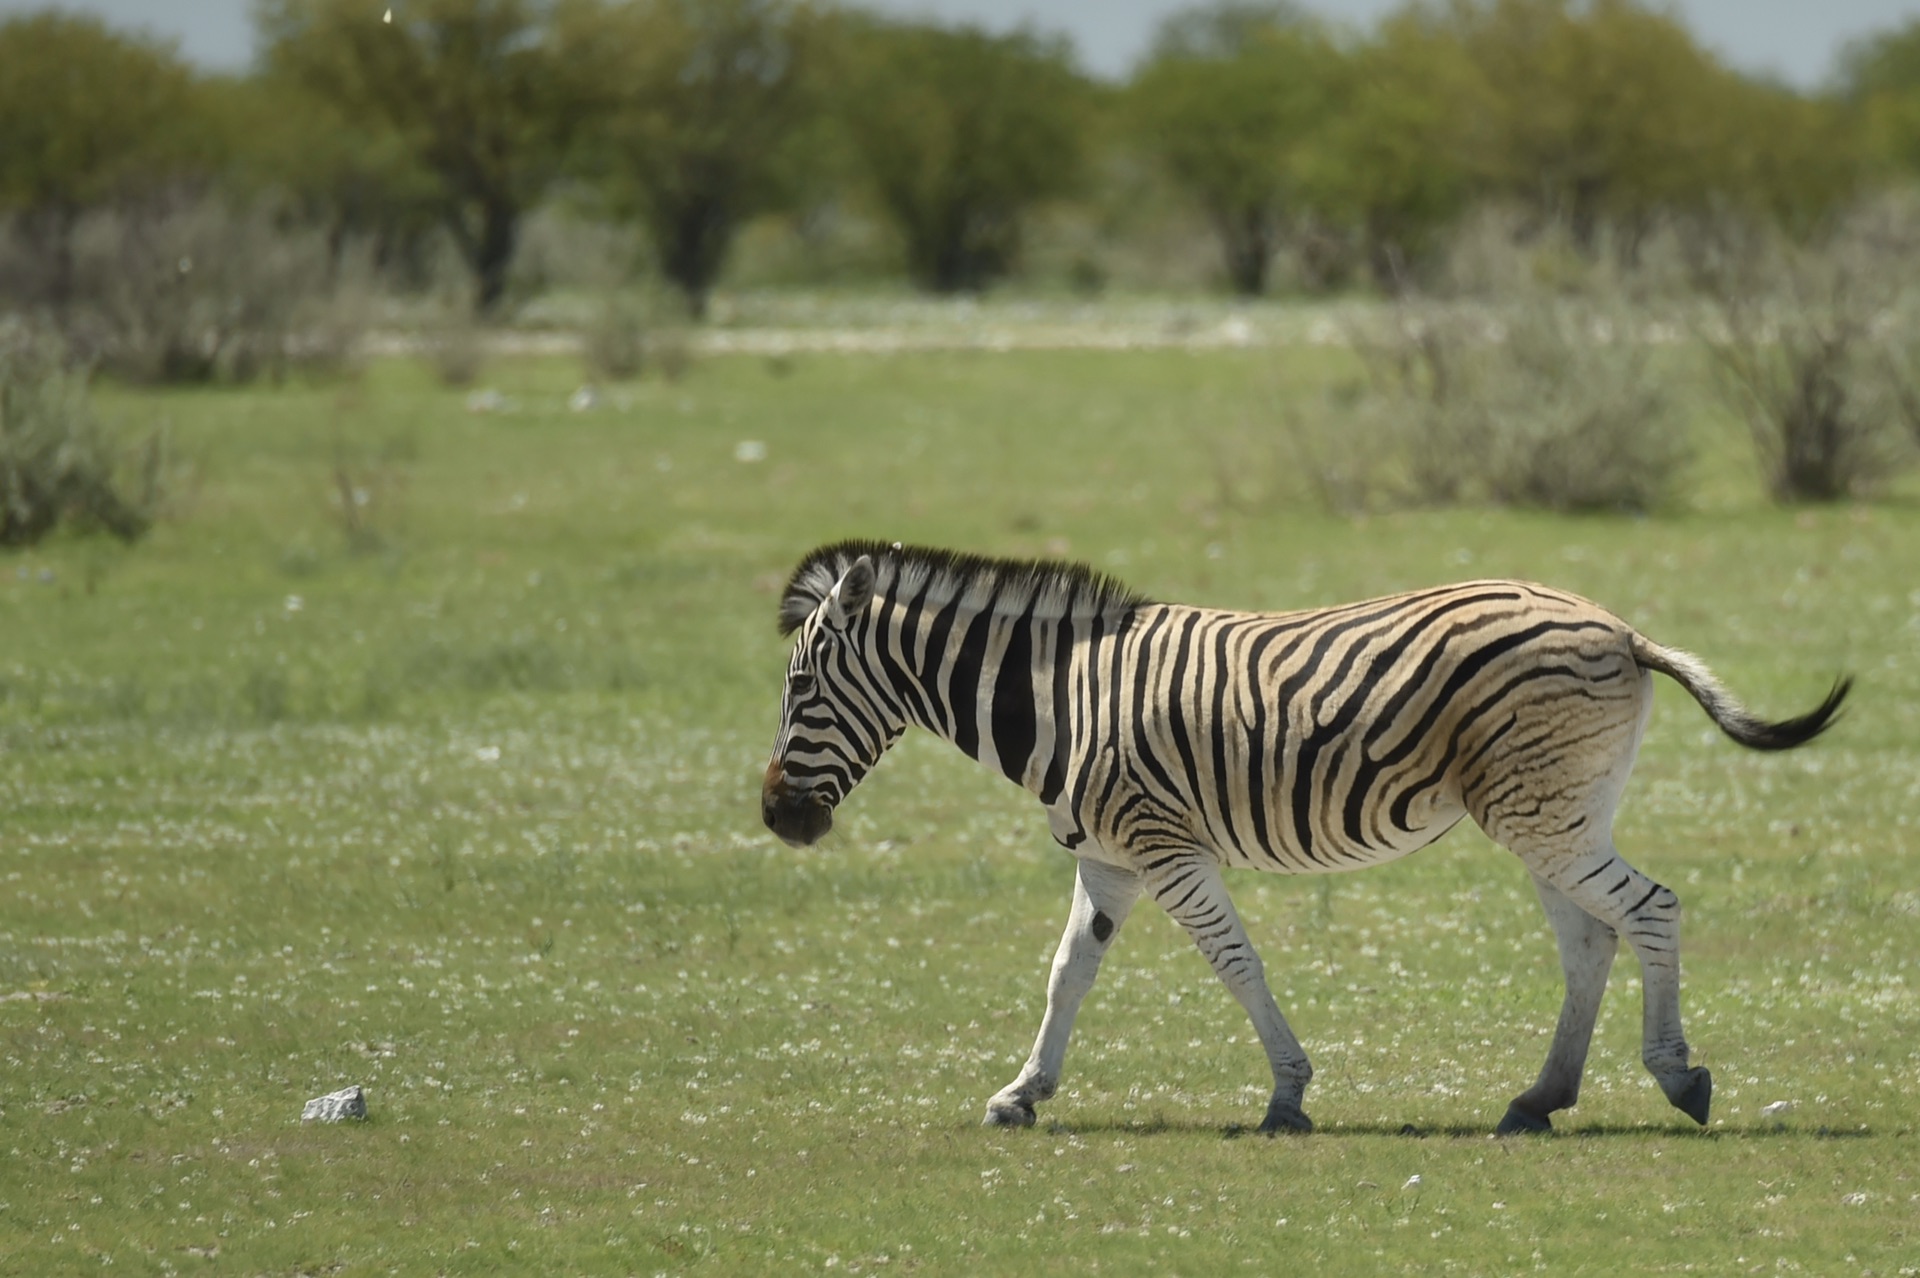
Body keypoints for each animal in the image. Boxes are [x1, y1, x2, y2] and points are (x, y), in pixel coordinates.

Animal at [760, 533, 1843, 1128]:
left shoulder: (1164, 846)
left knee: (1650, 910)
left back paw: (1677, 1076)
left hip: (1541, 813)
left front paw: (1287, 1093)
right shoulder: (1109, 859)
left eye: (800, 689)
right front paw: (1021, 1093)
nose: (778, 818)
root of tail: (1618, 627)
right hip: (1556, 811)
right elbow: (1069, 972)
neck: (1065, 700)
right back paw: (1539, 1100)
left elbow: (1236, 961)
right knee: (1591, 939)